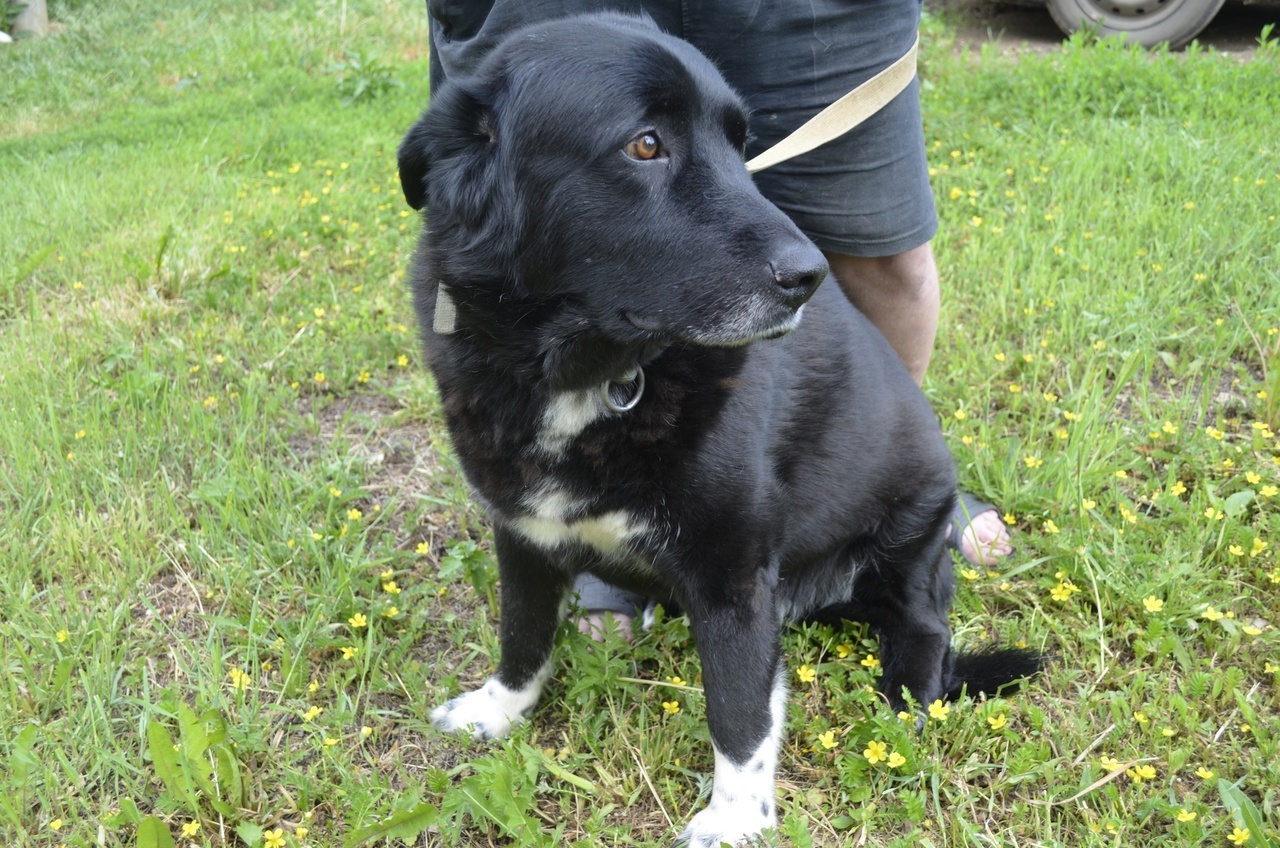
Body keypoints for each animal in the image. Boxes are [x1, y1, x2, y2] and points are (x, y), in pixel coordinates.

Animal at [399, 14, 1039, 848]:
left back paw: (905, 698)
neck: (592, 373)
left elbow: (739, 709)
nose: (811, 277)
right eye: (645, 144)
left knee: (926, 626)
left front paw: (735, 818)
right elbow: (523, 637)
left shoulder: (732, 576)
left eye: (741, 144)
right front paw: (497, 711)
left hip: (908, 535)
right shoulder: (524, 534)